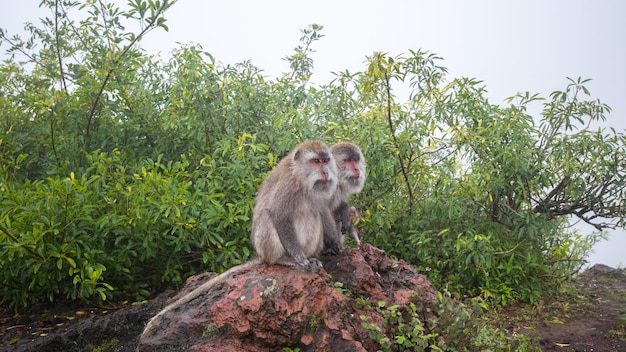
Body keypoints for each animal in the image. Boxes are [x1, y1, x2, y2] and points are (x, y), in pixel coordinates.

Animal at [249, 139, 336, 268]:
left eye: (325, 161)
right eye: (316, 161)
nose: (325, 172)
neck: (301, 179)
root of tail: (260, 256)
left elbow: (322, 211)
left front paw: (335, 241)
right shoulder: (288, 185)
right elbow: (279, 216)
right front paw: (299, 256)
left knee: (315, 214)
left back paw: (311, 257)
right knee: (266, 216)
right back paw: (280, 259)